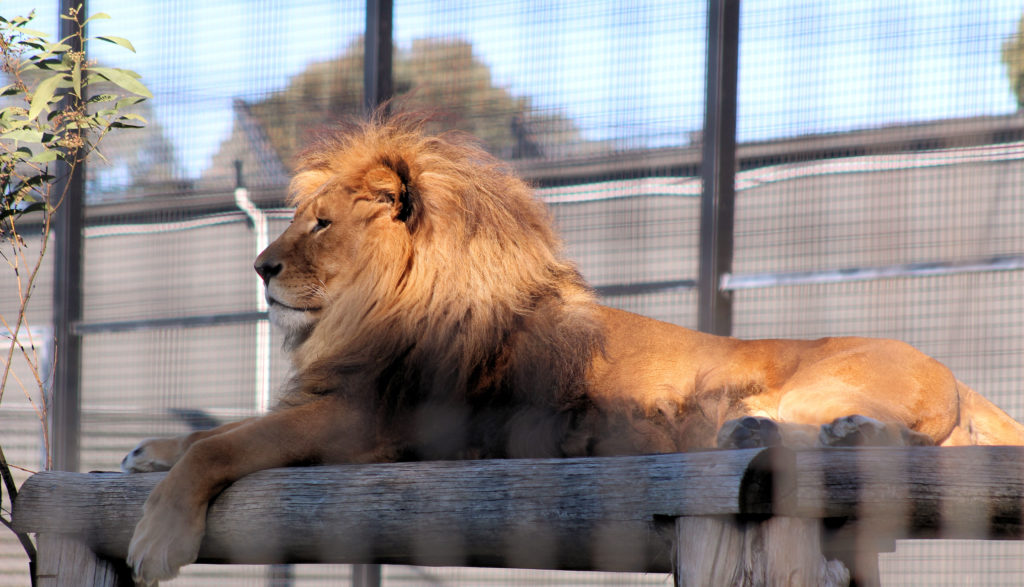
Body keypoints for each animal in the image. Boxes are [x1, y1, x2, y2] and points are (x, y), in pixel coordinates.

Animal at [121, 113, 1024, 581]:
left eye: (319, 223)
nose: (259, 266)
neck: (367, 309)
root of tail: (955, 374)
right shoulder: (332, 404)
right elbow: (208, 431)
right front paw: (142, 450)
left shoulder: (360, 422)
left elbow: (220, 447)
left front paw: (156, 540)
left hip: (813, 385)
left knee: (892, 446)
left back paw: (785, 432)